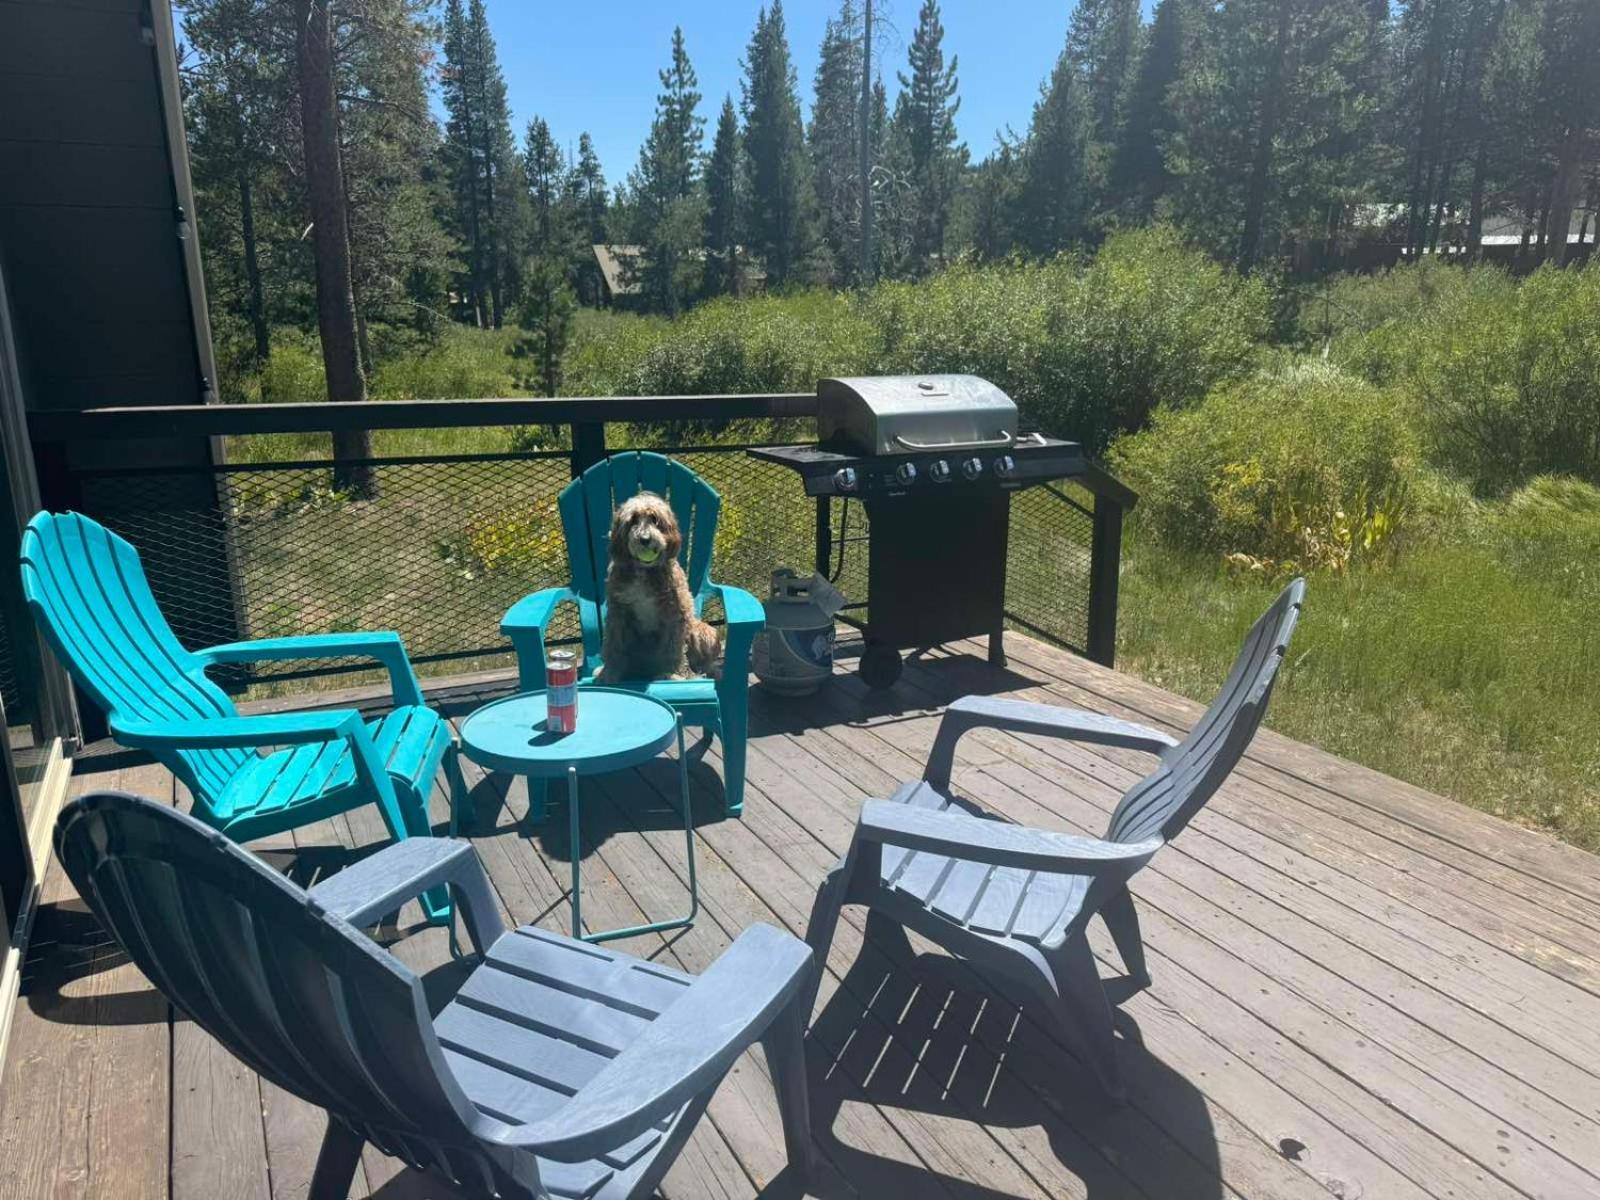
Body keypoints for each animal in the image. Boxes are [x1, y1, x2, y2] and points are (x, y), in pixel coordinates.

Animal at [598, 496, 723, 684]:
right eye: (633, 520)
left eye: (655, 519)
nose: (645, 539)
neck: (644, 571)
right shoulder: (617, 613)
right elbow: (614, 644)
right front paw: (609, 672)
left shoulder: (676, 614)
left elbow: (673, 648)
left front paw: (671, 673)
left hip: (705, 632)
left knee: (704, 664)